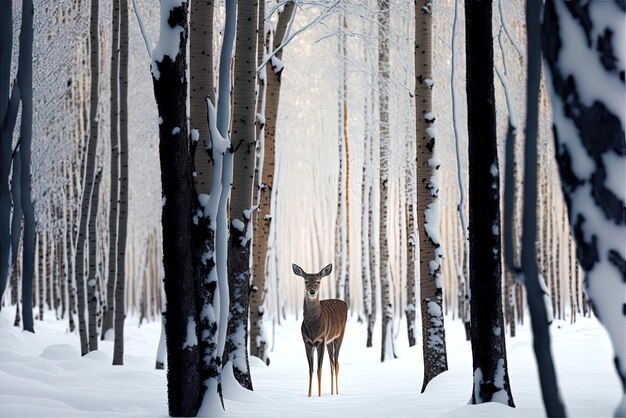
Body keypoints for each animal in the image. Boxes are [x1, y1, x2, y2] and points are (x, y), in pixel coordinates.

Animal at [292, 262, 346, 396]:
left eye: (318, 281)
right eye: (306, 281)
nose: (312, 291)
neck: (313, 328)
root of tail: (344, 303)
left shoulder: (321, 340)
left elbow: (319, 369)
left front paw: (320, 395)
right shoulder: (307, 342)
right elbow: (310, 369)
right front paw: (309, 395)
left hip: (339, 335)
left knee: (336, 363)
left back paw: (337, 393)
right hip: (329, 341)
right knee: (331, 364)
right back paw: (332, 392)